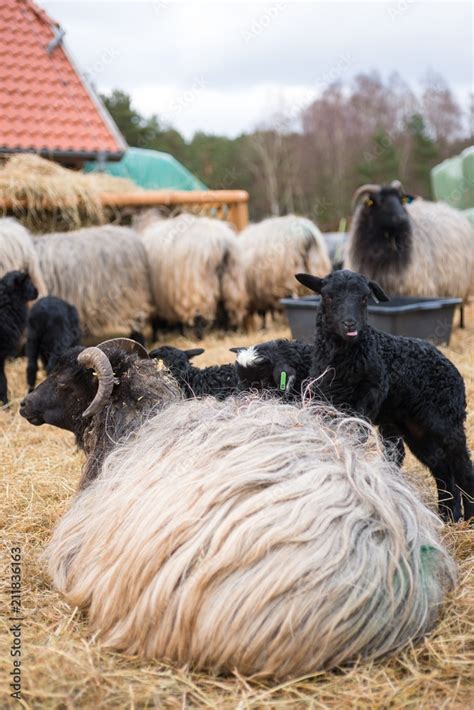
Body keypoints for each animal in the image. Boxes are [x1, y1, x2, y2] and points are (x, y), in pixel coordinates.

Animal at [294, 268, 472, 524]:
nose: (350, 324)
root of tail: (450, 364)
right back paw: (449, 517)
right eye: (328, 296)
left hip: (446, 419)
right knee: (442, 468)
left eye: (365, 298)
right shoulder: (327, 402)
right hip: (415, 428)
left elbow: (357, 431)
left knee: (463, 465)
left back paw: (467, 516)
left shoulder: (371, 392)